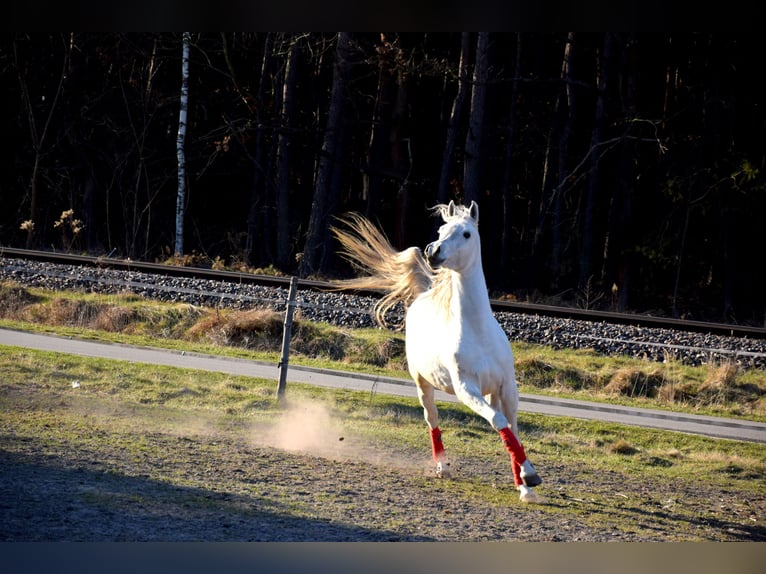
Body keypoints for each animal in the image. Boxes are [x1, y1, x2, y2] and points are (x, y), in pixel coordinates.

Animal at [331, 200, 543, 503]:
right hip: (422, 383)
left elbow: (511, 428)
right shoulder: (466, 388)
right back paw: (443, 467)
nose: (433, 251)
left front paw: (526, 484)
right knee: (432, 420)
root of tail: (422, 295)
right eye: (442, 230)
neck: (478, 332)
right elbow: (497, 420)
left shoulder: (506, 387)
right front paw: (528, 476)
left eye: (466, 233)